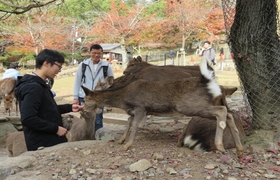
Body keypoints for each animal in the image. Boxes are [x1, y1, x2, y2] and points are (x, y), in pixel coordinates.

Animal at [82, 57, 244, 158]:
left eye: (86, 98)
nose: (82, 109)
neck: (124, 98)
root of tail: (209, 82)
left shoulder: (140, 107)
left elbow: (134, 125)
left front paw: (127, 145)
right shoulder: (134, 111)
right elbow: (129, 122)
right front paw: (121, 140)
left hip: (190, 105)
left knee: (222, 111)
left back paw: (221, 146)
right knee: (229, 114)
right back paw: (239, 150)